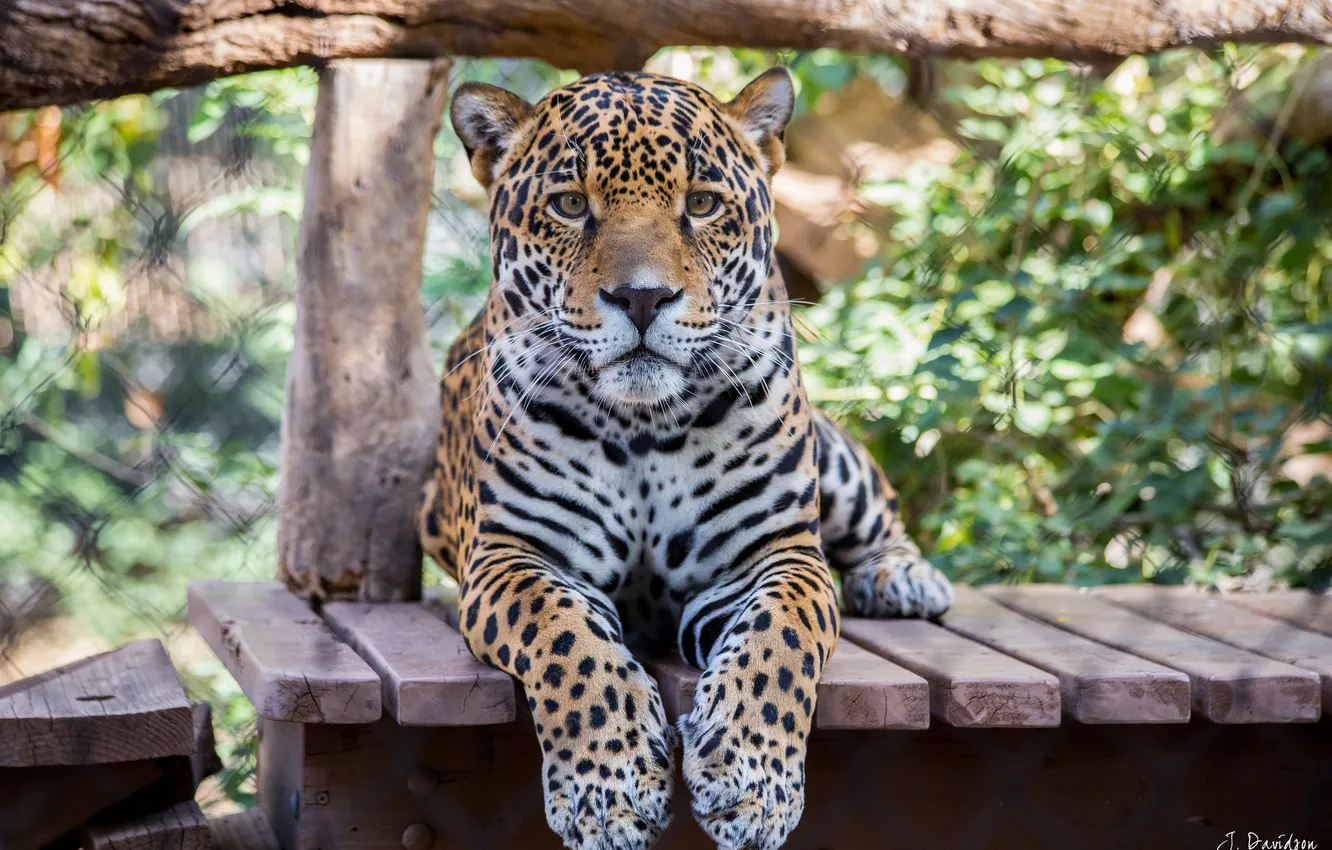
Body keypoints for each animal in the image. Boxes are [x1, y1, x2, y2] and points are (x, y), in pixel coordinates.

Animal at [417, 67, 954, 850]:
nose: (642, 299)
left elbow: (778, 641)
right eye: (570, 204)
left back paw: (903, 577)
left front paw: (752, 783)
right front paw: (608, 791)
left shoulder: (776, 555)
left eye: (701, 205)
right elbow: (566, 640)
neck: (643, 427)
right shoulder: (513, 555)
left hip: (832, 455)